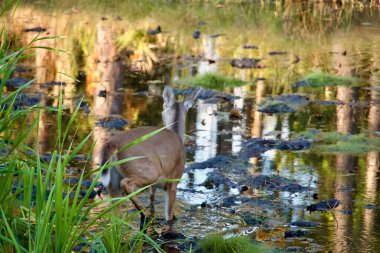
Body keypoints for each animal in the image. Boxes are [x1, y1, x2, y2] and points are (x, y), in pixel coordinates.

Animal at [99, 85, 203, 229]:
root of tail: (112, 143)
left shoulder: (153, 187)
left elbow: (152, 199)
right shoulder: (173, 181)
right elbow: (169, 215)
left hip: (113, 181)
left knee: (115, 215)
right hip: (147, 170)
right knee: (126, 184)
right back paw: (144, 214)